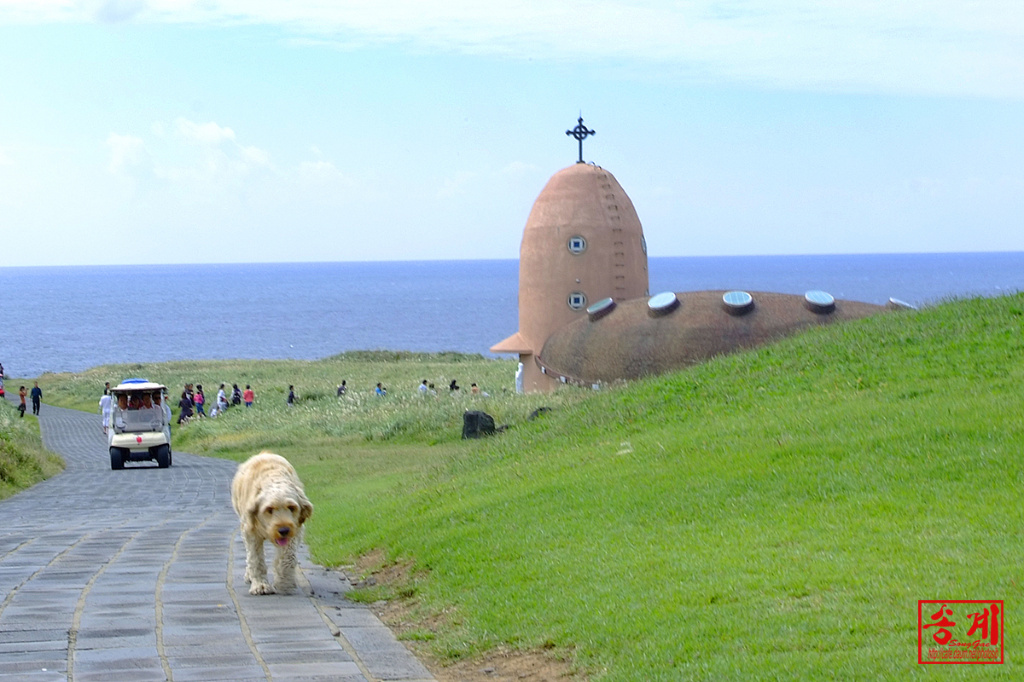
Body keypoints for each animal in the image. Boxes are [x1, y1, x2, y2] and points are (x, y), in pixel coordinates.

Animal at [231, 454, 313, 593]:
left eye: (291, 507)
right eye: (269, 509)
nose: (283, 530)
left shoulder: (294, 531)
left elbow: (288, 557)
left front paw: (284, 583)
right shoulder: (251, 532)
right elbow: (256, 559)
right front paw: (260, 585)